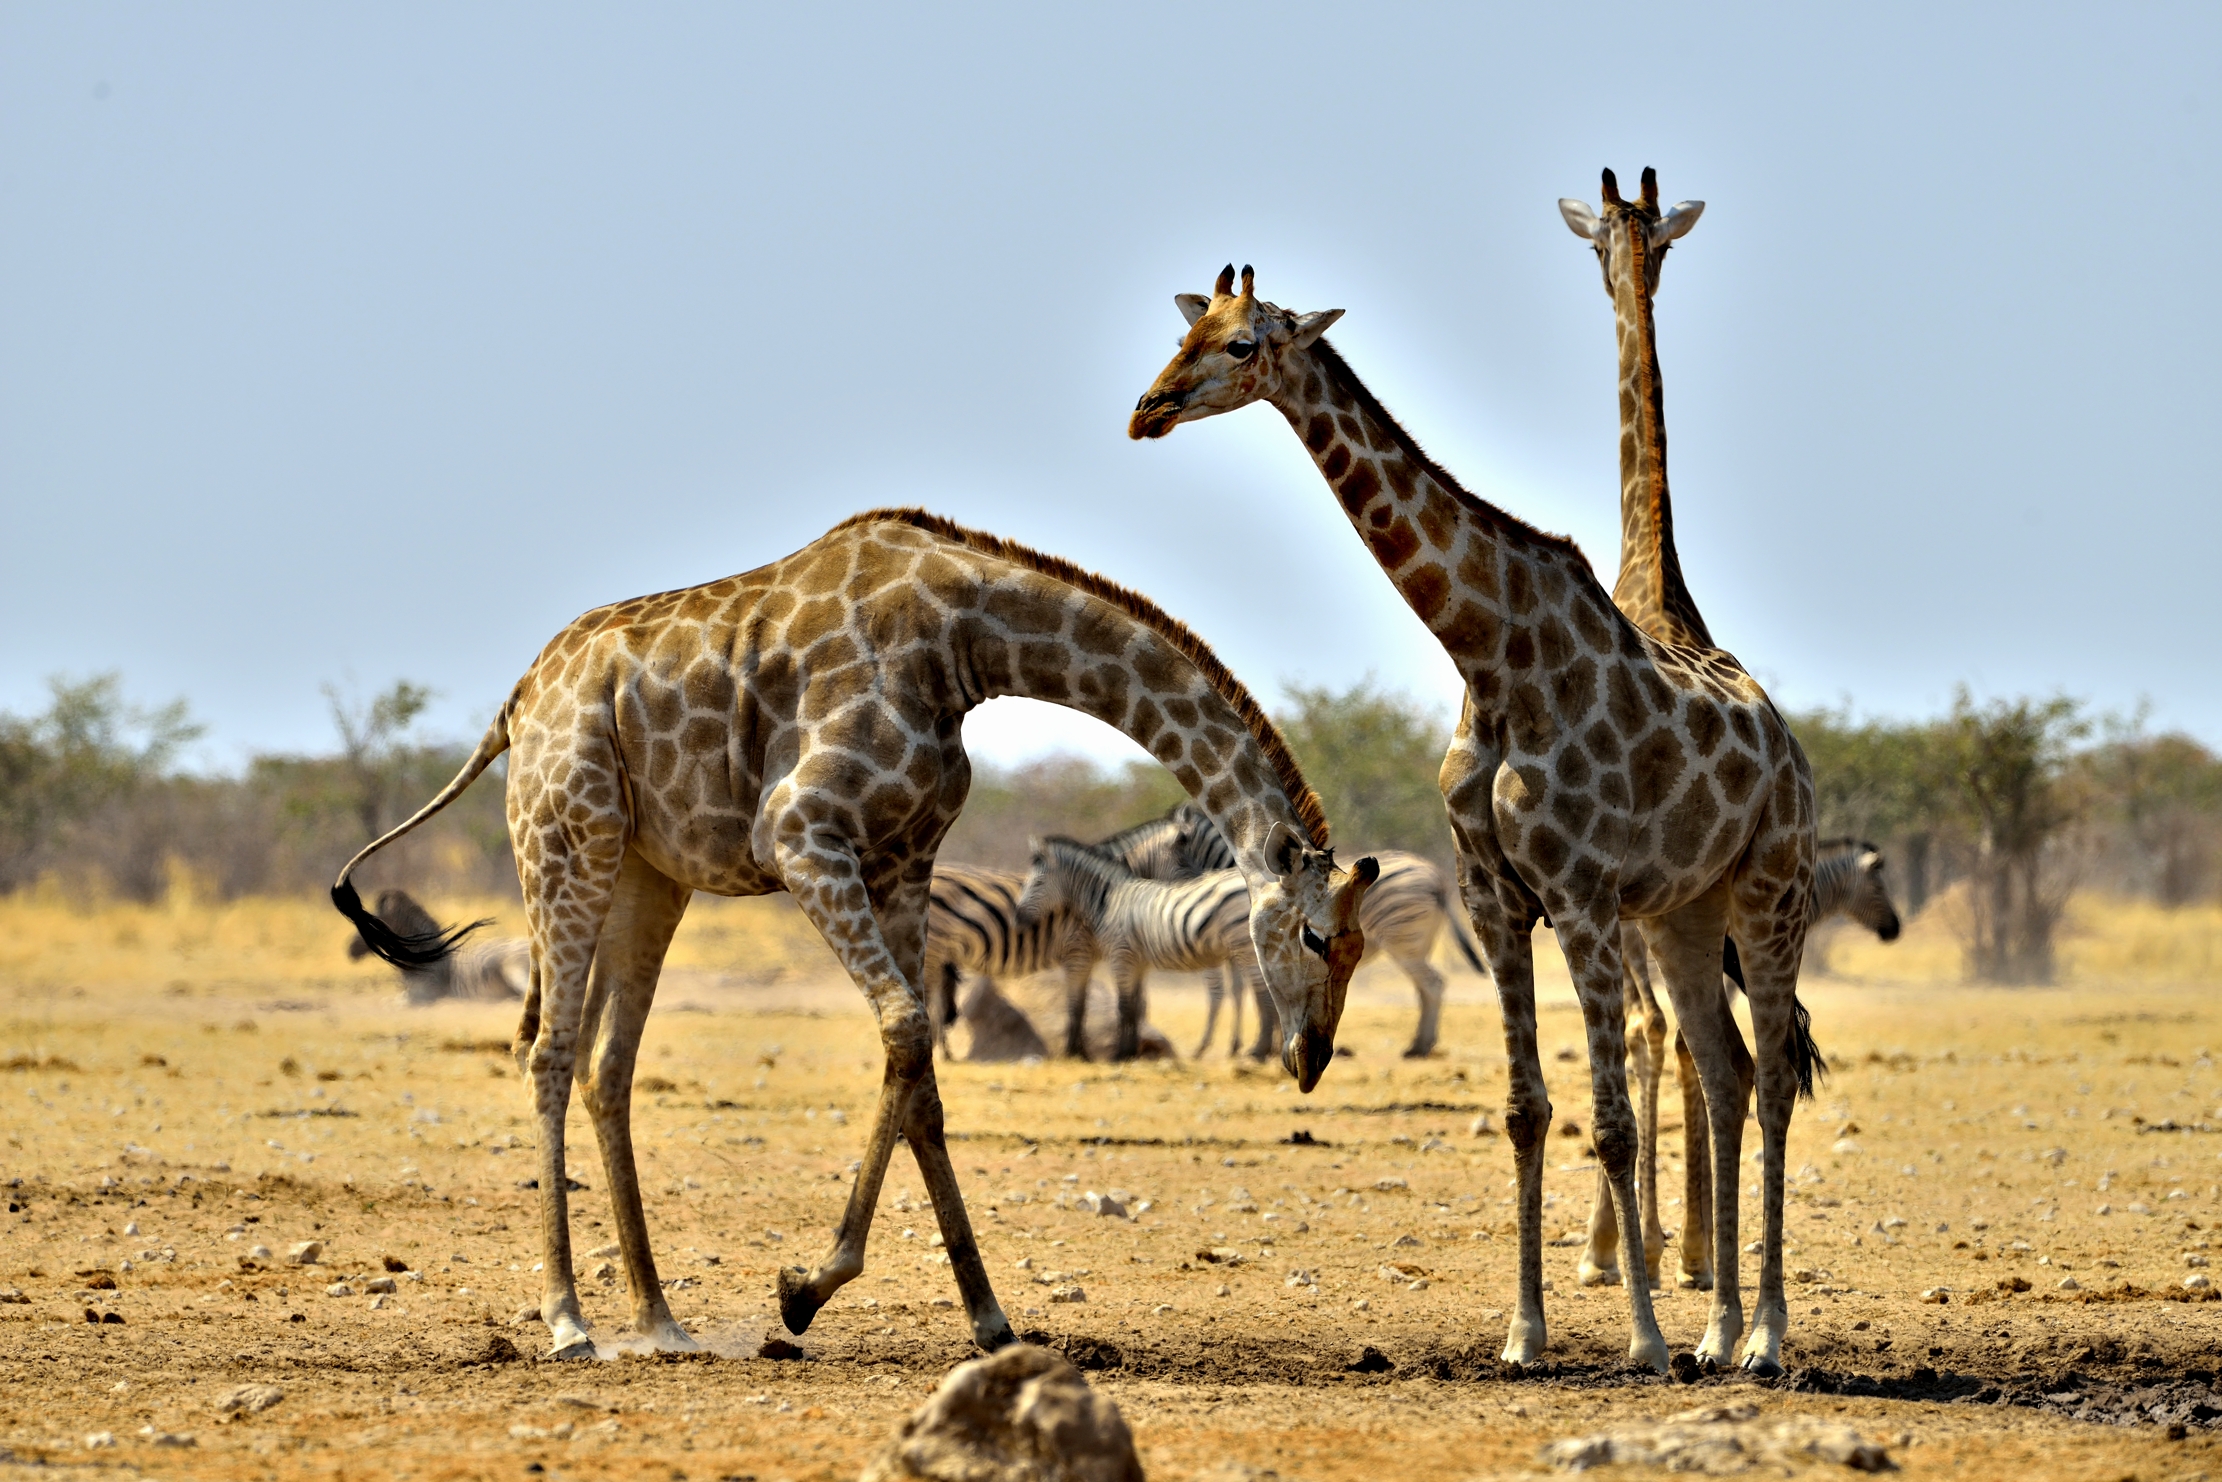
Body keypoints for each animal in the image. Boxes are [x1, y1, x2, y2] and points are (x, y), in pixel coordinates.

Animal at [332, 508, 1377, 1361]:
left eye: (1359, 947)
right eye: (1316, 937)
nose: (1312, 1057)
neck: (964, 641)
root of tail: (516, 702)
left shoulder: (904, 860)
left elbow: (920, 1074)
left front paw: (987, 1319)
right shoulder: (799, 834)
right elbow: (907, 1030)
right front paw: (804, 1290)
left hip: (648, 873)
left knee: (606, 1065)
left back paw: (659, 1319)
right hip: (567, 841)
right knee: (549, 1054)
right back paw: (568, 1321)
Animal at [1130, 268, 1816, 1374]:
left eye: (1241, 344)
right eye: (1185, 331)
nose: (1147, 410)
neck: (1491, 655)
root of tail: (1788, 749)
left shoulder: (1579, 895)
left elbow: (1610, 1122)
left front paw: (1640, 1341)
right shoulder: (1494, 898)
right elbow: (1525, 1109)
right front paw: (1524, 1336)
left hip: (1770, 887)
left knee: (1774, 1076)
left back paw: (1759, 1338)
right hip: (1684, 912)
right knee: (1727, 1069)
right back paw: (1715, 1334)